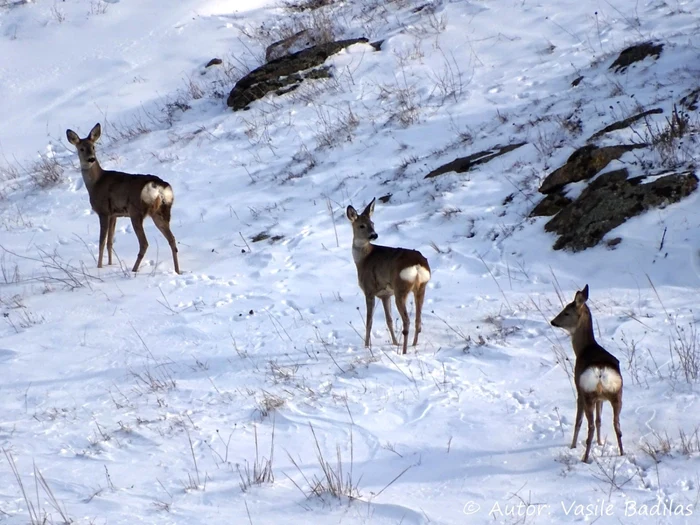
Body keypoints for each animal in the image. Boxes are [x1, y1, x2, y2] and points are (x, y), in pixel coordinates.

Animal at [66, 123, 180, 274]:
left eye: (93, 147)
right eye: (81, 148)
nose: (91, 159)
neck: (95, 183)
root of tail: (159, 186)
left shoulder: (103, 211)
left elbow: (102, 242)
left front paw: (99, 267)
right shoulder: (114, 215)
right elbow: (109, 242)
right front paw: (110, 264)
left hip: (136, 211)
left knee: (144, 243)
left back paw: (133, 270)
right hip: (161, 211)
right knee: (172, 239)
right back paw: (177, 271)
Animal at [346, 199, 430, 354]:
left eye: (372, 223)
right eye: (362, 225)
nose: (374, 235)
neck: (363, 259)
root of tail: (417, 265)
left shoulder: (369, 290)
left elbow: (369, 321)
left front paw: (366, 346)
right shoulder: (385, 294)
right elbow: (389, 320)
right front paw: (395, 343)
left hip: (401, 288)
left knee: (407, 321)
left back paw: (404, 351)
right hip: (421, 287)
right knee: (418, 319)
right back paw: (414, 345)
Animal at [552, 284, 624, 460]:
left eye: (566, 312)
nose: (553, 321)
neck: (583, 349)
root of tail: (601, 372)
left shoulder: (578, 390)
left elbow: (578, 422)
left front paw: (572, 446)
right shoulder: (601, 399)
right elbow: (599, 420)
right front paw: (600, 443)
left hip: (587, 395)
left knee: (589, 426)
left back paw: (584, 459)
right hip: (616, 395)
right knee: (617, 426)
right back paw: (622, 454)